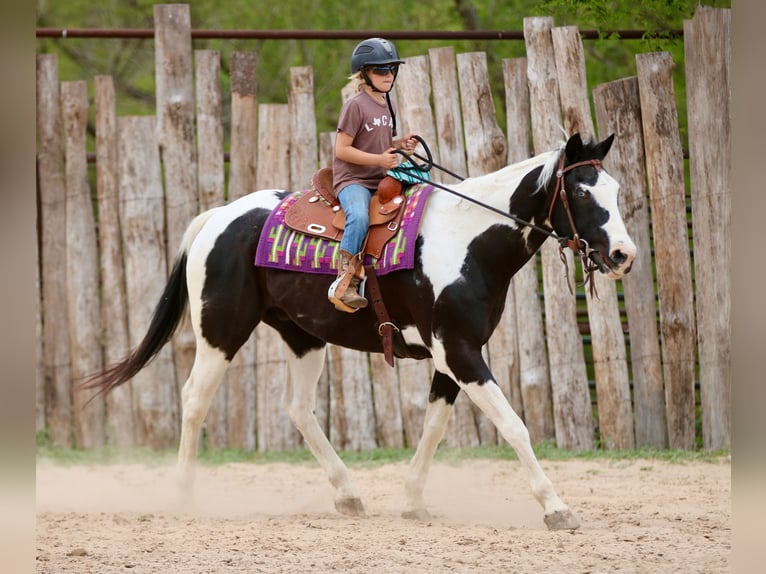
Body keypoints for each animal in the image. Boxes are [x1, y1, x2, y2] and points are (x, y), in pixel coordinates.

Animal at [84, 132, 636, 531]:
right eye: (581, 191)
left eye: (615, 190)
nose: (622, 255)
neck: (468, 239)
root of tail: (221, 215)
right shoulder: (460, 353)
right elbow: (514, 426)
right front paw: (556, 507)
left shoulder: (453, 355)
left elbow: (434, 427)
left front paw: (412, 501)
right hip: (220, 332)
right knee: (195, 398)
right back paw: (183, 494)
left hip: (303, 336)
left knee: (298, 408)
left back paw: (348, 494)